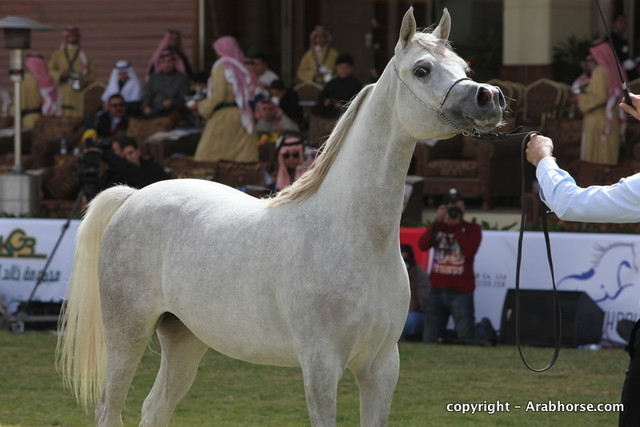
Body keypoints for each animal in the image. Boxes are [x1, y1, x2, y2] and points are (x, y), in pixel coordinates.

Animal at [57, 7, 505, 426]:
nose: (489, 98)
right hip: (127, 334)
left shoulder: (381, 368)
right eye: (422, 69)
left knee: (154, 409)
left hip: (184, 338)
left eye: (464, 68)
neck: (352, 238)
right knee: (110, 409)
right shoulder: (321, 366)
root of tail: (133, 198)